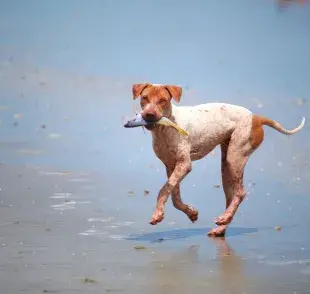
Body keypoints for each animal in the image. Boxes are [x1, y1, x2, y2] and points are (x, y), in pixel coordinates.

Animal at [131, 82, 306, 237]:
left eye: (163, 100)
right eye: (144, 98)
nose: (149, 114)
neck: (165, 127)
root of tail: (256, 117)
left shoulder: (184, 164)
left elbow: (163, 191)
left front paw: (157, 215)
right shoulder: (171, 166)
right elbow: (174, 197)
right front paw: (191, 213)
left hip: (234, 157)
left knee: (241, 193)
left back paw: (224, 218)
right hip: (226, 169)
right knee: (231, 197)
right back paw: (222, 226)